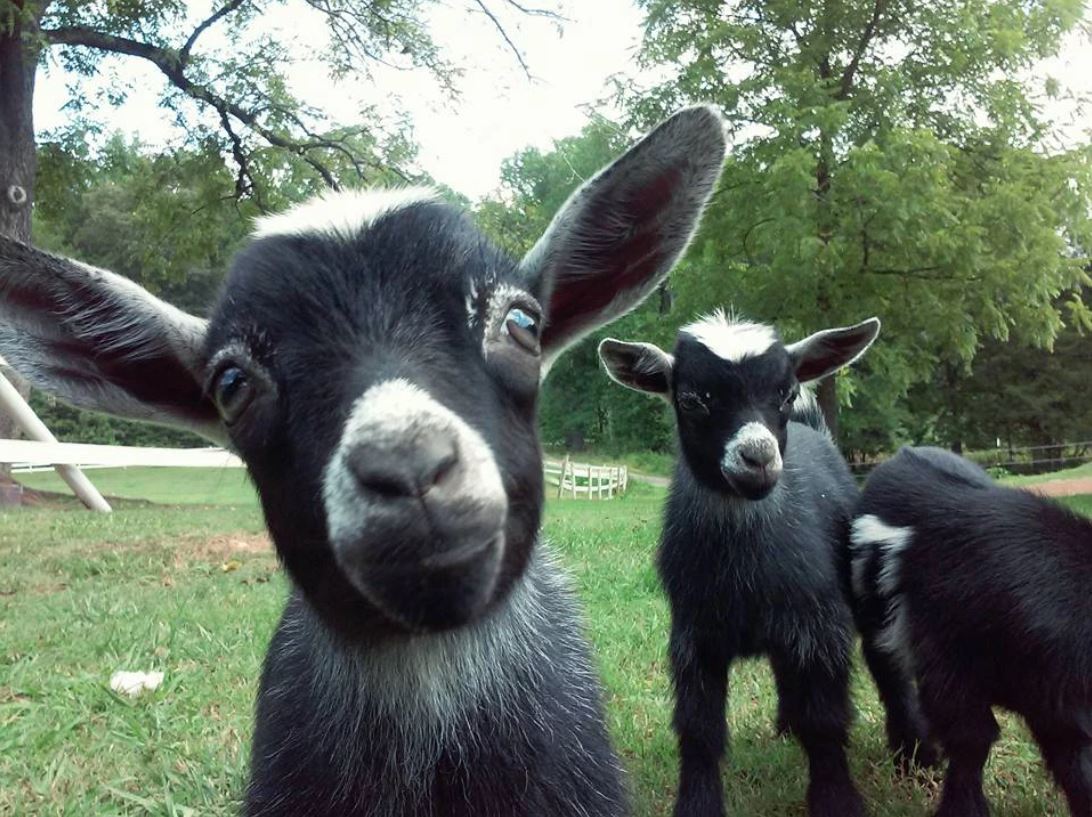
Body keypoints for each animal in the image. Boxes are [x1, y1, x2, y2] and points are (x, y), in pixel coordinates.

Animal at [856, 447, 1092, 816]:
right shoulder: (947, 670)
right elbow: (973, 738)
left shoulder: (1057, 698)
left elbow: (1075, 756)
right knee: (893, 682)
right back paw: (913, 758)